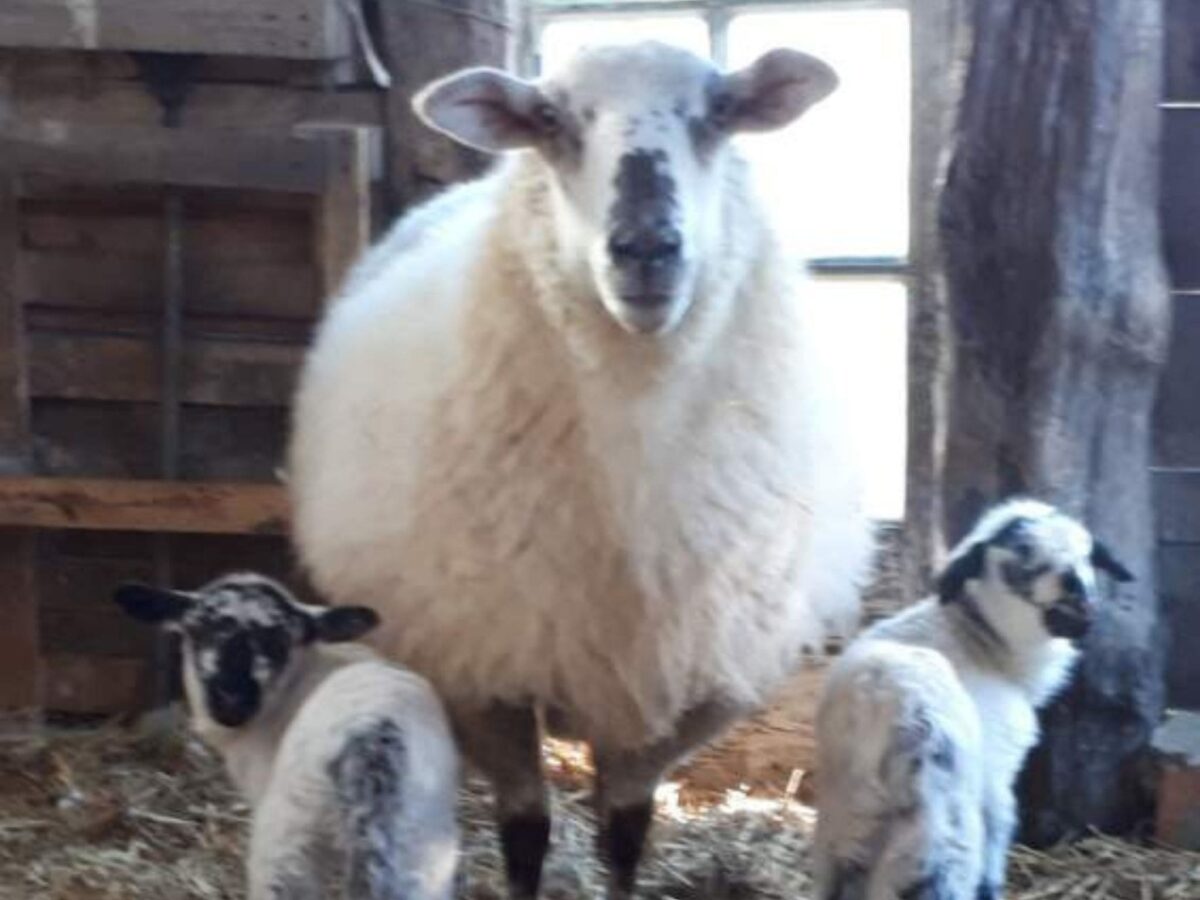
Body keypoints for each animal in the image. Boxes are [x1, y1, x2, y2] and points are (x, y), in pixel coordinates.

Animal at [113, 573, 458, 900]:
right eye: (197, 630)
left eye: (278, 640)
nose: (231, 700)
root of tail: (371, 741)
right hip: (422, 849)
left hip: (289, 836)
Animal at [286, 42, 878, 900]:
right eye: (548, 120)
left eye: (720, 112)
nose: (647, 248)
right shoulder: (485, 677)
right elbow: (527, 834)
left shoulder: (683, 688)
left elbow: (626, 832)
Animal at [816, 501, 1132, 900]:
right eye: (1022, 557)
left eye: (1087, 553)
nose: (1074, 583)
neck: (983, 639)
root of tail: (878, 701)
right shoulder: (996, 769)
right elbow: (1000, 829)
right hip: (941, 825)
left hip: (844, 826)